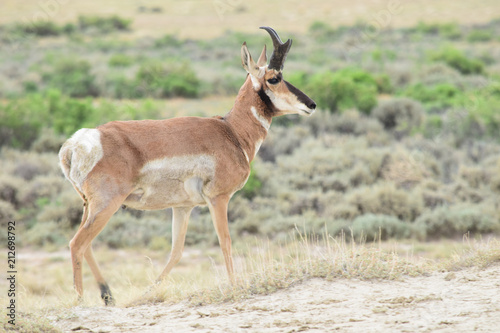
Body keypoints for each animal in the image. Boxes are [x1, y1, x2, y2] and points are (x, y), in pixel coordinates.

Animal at [59, 27, 316, 304]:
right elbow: (225, 241)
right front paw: (235, 286)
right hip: (107, 205)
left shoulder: (183, 207)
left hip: (90, 207)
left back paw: (108, 296)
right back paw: (81, 302)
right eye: (274, 78)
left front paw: (149, 291)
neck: (231, 131)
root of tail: (77, 142)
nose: (311, 104)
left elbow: (177, 251)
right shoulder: (218, 199)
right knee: (77, 244)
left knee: (86, 245)